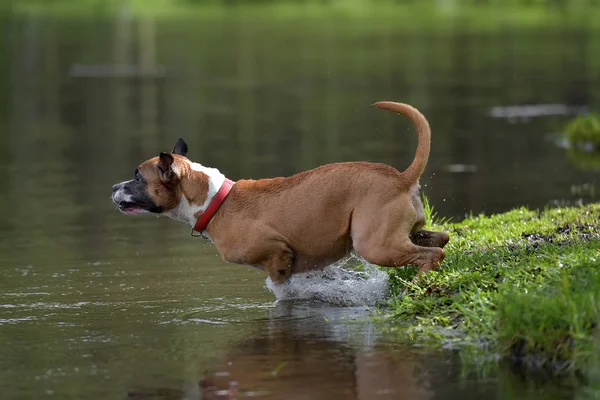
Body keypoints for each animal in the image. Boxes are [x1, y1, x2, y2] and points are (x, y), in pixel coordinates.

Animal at [112, 101, 450, 286]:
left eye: (137, 177)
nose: (114, 187)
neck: (215, 201)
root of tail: (401, 177)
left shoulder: (278, 256)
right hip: (398, 235)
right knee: (440, 240)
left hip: (374, 245)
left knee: (433, 254)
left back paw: (415, 284)